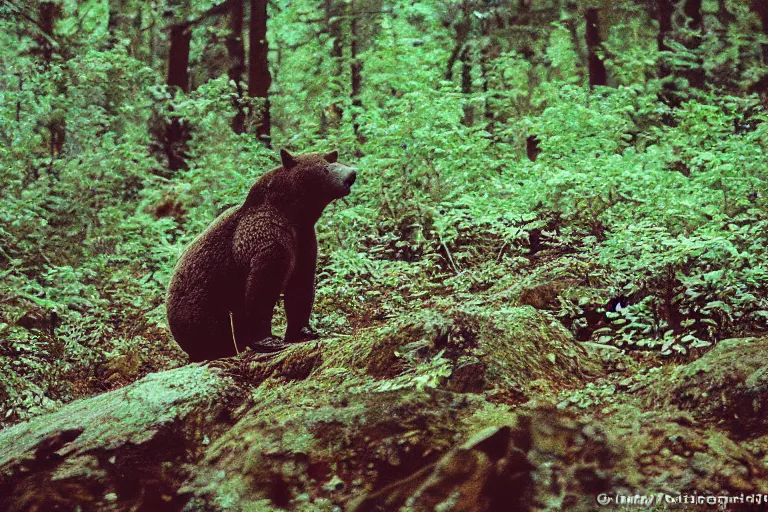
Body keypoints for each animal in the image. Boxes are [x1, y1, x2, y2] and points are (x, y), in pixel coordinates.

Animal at [165, 150, 356, 362]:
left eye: (332, 157)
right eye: (325, 168)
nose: (351, 174)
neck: (291, 213)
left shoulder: (303, 240)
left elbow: (301, 284)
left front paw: (304, 332)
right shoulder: (265, 238)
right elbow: (263, 287)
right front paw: (269, 340)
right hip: (204, 316)